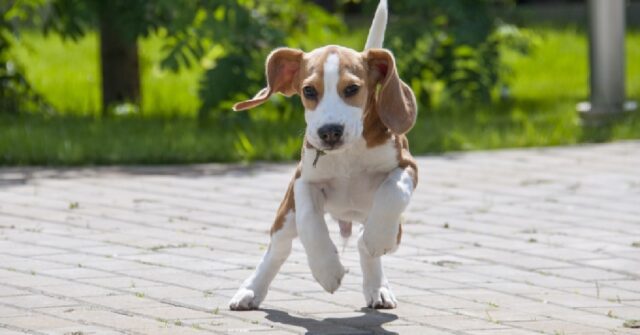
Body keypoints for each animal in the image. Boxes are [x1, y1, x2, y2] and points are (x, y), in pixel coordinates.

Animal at [228, 0, 418, 312]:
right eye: (308, 91)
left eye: (352, 89)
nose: (329, 131)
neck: (348, 155)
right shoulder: (303, 180)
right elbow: (310, 221)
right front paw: (327, 270)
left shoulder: (407, 166)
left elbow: (393, 190)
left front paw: (377, 237)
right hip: (286, 215)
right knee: (278, 249)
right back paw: (250, 290)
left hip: (394, 227)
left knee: (366, 244)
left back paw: (377, 285)